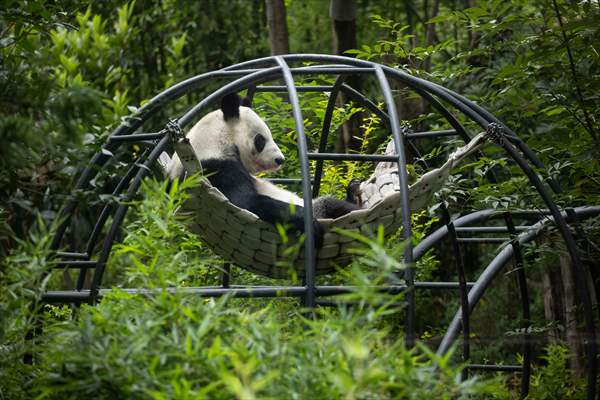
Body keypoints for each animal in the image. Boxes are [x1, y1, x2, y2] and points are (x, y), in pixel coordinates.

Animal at [166, 93, 358, 247]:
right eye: (261, 140)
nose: (280, 159)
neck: (216, 139)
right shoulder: (214, 167)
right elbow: (247, 202)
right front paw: (311, 225)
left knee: (333, 204)